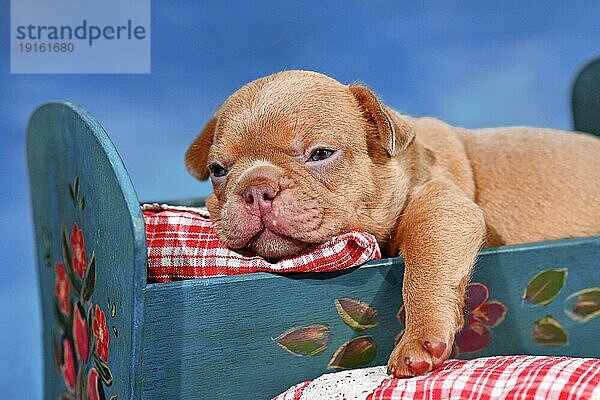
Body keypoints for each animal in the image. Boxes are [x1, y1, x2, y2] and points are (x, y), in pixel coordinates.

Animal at [186, 69, 600, 378]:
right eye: (218, 171)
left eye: (320, 154)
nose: (256, 188)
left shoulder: (440, 207)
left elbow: (423, 269)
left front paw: (419, 339)